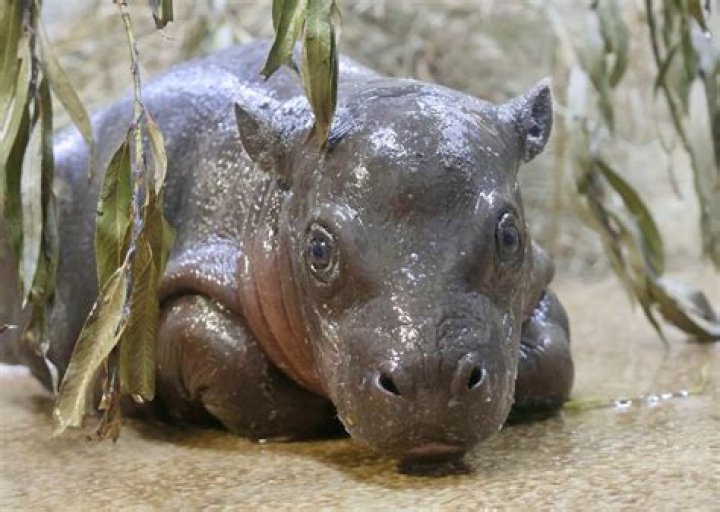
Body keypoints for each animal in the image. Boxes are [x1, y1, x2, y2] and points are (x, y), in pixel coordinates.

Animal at [2, 40, 573, 471]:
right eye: (318, 248)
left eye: (510, 235)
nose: (430, 381)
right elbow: (210, 341)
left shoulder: (538, 276)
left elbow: (555, 352)